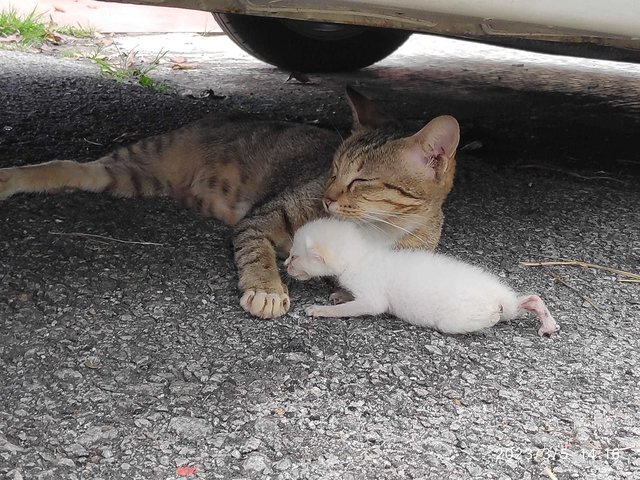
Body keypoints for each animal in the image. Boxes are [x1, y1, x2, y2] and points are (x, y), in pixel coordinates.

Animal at [0, 87, 460, 318]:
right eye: (332, 170)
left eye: (361, 180)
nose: (329, 198)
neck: (375, 230)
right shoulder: (262, 218)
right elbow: (258, 251)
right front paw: (267, 289)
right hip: (142, 157)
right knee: (66, 164)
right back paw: (10, 176)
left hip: (133, 177)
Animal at [286, 218, 560, 338]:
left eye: (295, 256)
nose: (284, 264)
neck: (360, 255)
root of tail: (499, 297)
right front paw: (339, 295)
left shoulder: (373, 299)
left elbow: (358, 307)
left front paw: (321, 309)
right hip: (512, 305)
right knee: (530, 299)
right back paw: (546, 321)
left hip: (455, 321)